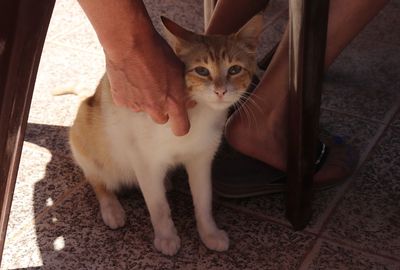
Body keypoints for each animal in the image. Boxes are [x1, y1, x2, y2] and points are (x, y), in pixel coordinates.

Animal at [69, 14, 262, 255]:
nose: (221, 91)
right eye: (202, 71)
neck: (197, 116)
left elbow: (203, 201)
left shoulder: (201, 159)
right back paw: (112, 209)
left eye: (235, 70)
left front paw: (209, 234)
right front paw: (166, 237)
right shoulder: (145, 161)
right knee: (98, 182)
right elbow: (158, 206)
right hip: (86, 141)